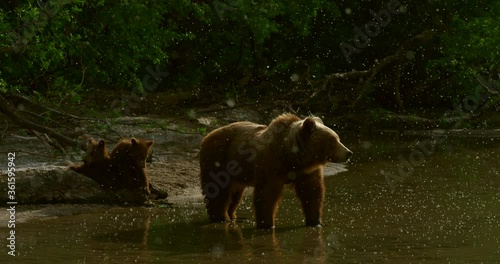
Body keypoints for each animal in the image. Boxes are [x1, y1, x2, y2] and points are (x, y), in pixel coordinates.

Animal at [199, 113, 352, 229]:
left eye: (337, 138)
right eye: (333, 140)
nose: (348, 153)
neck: (291, 156)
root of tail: (208, 135)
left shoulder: (306, 171)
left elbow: (312, 192)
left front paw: (315, 221)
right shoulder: (271, 166)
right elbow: (267, 195)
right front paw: (267, 224)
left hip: (237, 172)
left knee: (235, 194)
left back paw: (233, 216)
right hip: (219, 159)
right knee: (219, 191)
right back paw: (221, 217)